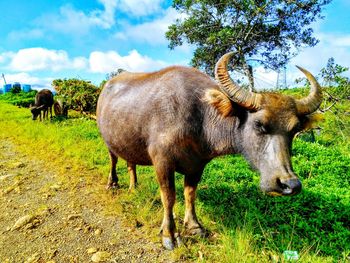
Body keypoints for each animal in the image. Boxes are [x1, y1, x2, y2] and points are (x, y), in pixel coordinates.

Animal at [95, 52, 322, 252]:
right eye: (259, 124)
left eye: (294, 130)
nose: (290, 184)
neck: (200, 118)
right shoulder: (162, 161)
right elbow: (169, 197)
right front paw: (169, 234)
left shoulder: (197, 165)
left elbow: (189, 194)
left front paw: (194, 226)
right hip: (107, 141)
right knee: (113, 160)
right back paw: (112, 183)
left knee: (130, 162)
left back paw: (134, 186)